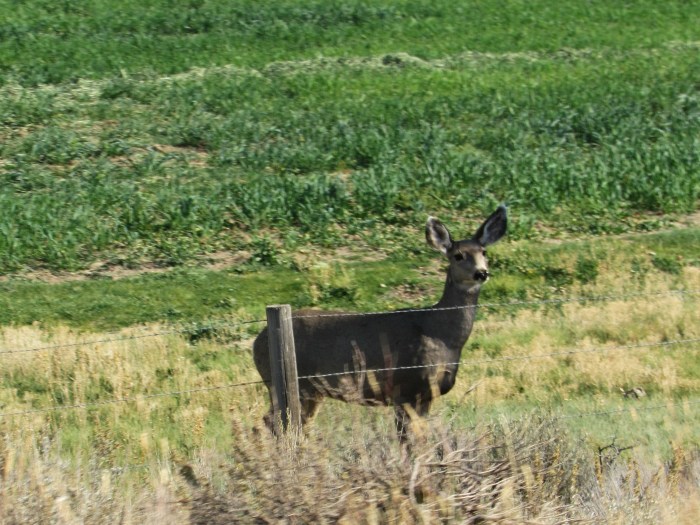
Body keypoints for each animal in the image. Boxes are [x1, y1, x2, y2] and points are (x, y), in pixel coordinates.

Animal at [253, 205, 507, 440]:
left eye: (484, 252)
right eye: (458, 255)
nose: (481, 273)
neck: (440, 334)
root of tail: (258, 341)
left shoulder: (425, 395)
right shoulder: (404, 387)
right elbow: (407, 438)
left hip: (308, 391)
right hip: (290, 385)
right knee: (272, 422)